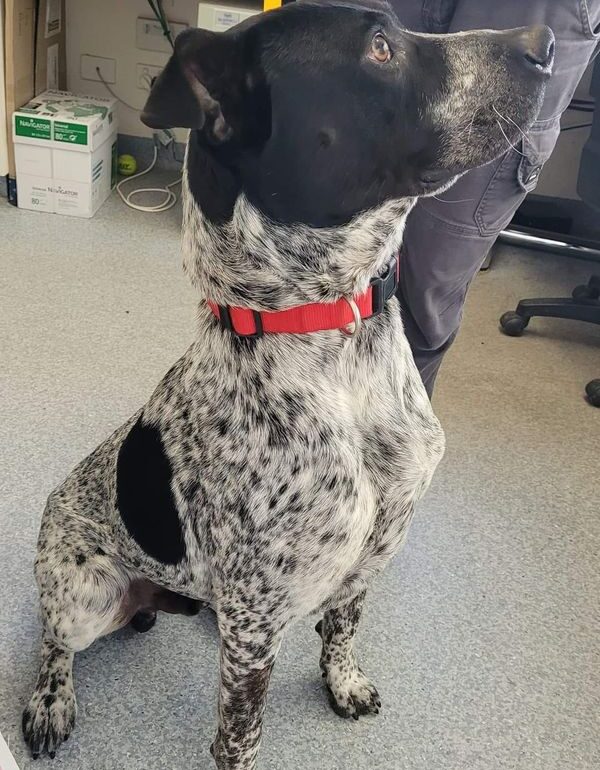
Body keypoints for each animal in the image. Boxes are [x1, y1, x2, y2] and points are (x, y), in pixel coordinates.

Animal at [23, 3, 556, 764]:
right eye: (380, 48)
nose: (545, 42)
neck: (330, 331)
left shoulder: (368, 557)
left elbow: (343, 628)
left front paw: (343, 681)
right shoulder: (254, 627)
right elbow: (241, 734)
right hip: (83, 592)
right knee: (53, 640)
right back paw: (48, 700)